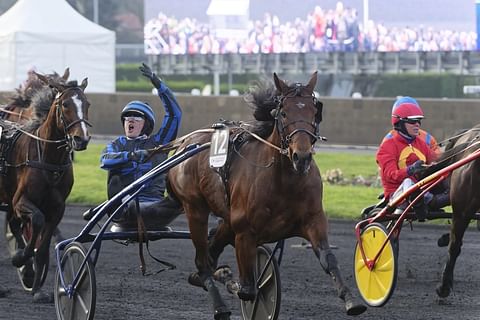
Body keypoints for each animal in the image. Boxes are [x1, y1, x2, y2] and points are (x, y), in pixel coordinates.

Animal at [0, 73, 91, 302]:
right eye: (65, 104)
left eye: (87, 104)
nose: (81, 139)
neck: (49, 159)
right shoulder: (20, 201)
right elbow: (37, 221)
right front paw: (21, 259)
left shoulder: (57, 209)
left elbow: (41, 247)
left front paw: (37, 289)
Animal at [167, 72, 366, 318]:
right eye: (284, 112)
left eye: (314, 111)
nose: (302, 157)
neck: (285, 181)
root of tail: (184, 144)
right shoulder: (245, 232)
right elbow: (248, 291)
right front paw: (237, 285)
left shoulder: (314, 221)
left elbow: (329, 259)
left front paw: (351, 300)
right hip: (195, 209)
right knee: (203, 260)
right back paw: (218, 302)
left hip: (226, 219)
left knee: (212, 248)